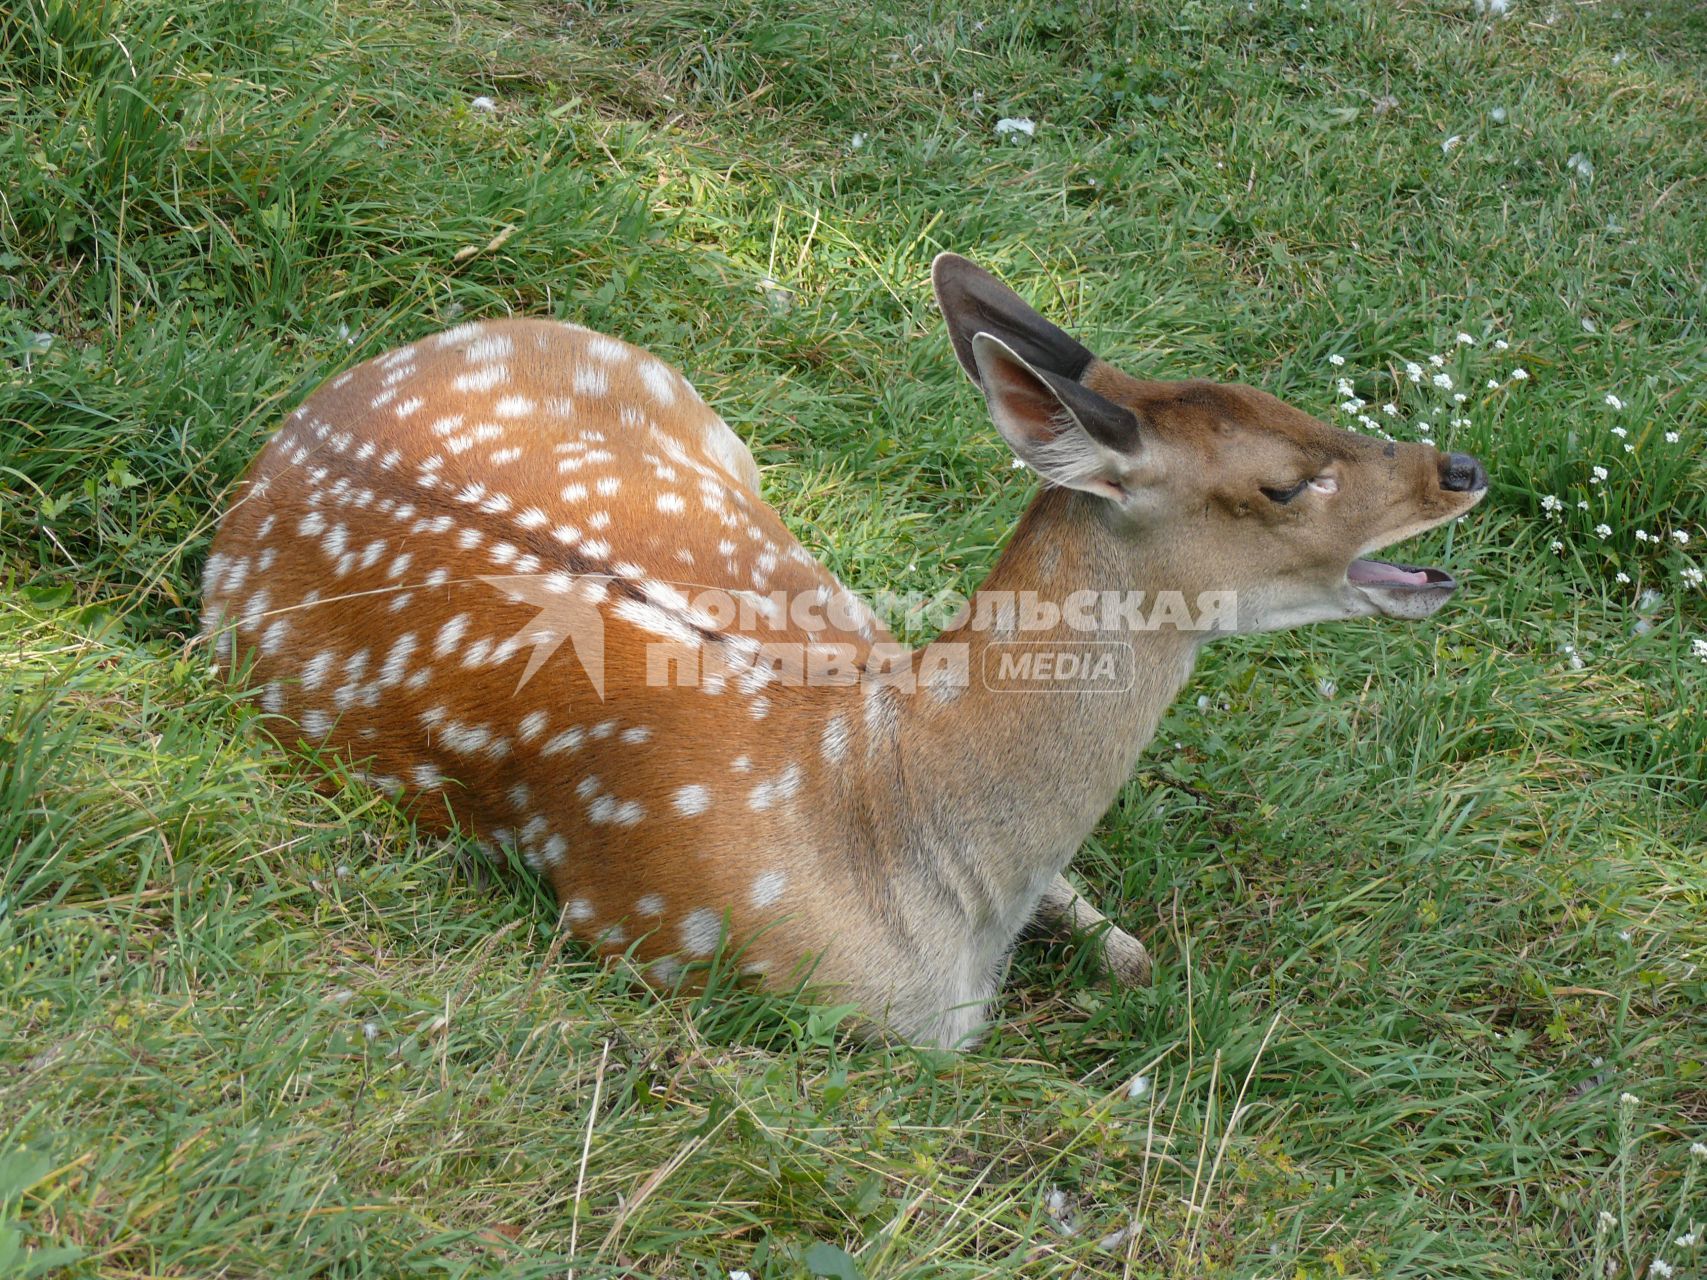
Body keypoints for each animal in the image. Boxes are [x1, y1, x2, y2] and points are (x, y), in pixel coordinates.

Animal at [196, 256, 1481, 1044]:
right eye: (1283, 482)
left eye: (1298, 402)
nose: (1457, 467)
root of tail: (307, 414)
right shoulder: (682, 945)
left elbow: (1130, 951)